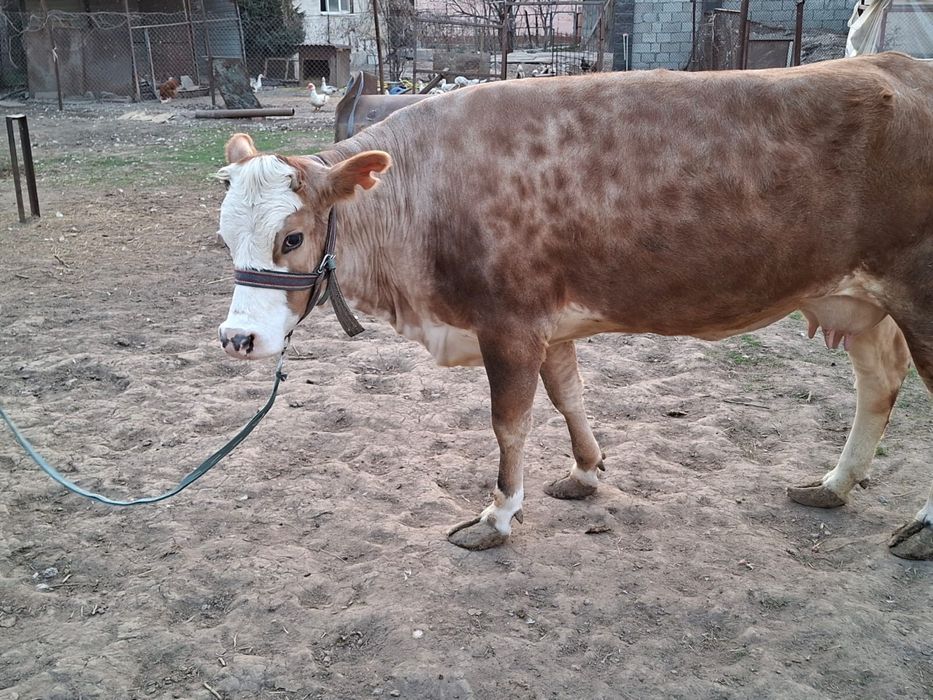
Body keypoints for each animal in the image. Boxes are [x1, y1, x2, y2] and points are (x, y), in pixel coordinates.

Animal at [214, 53, 933, 559]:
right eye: (224, 233)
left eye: (293, 237)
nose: (237, 339)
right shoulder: (549, 325)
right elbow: (568, 397)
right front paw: (586, 472)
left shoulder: (507, 324)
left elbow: (509, 424)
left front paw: (497, 517)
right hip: (859, 300)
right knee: (879, 385)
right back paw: (833, 485)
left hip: (918, 296)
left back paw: (919, 528)